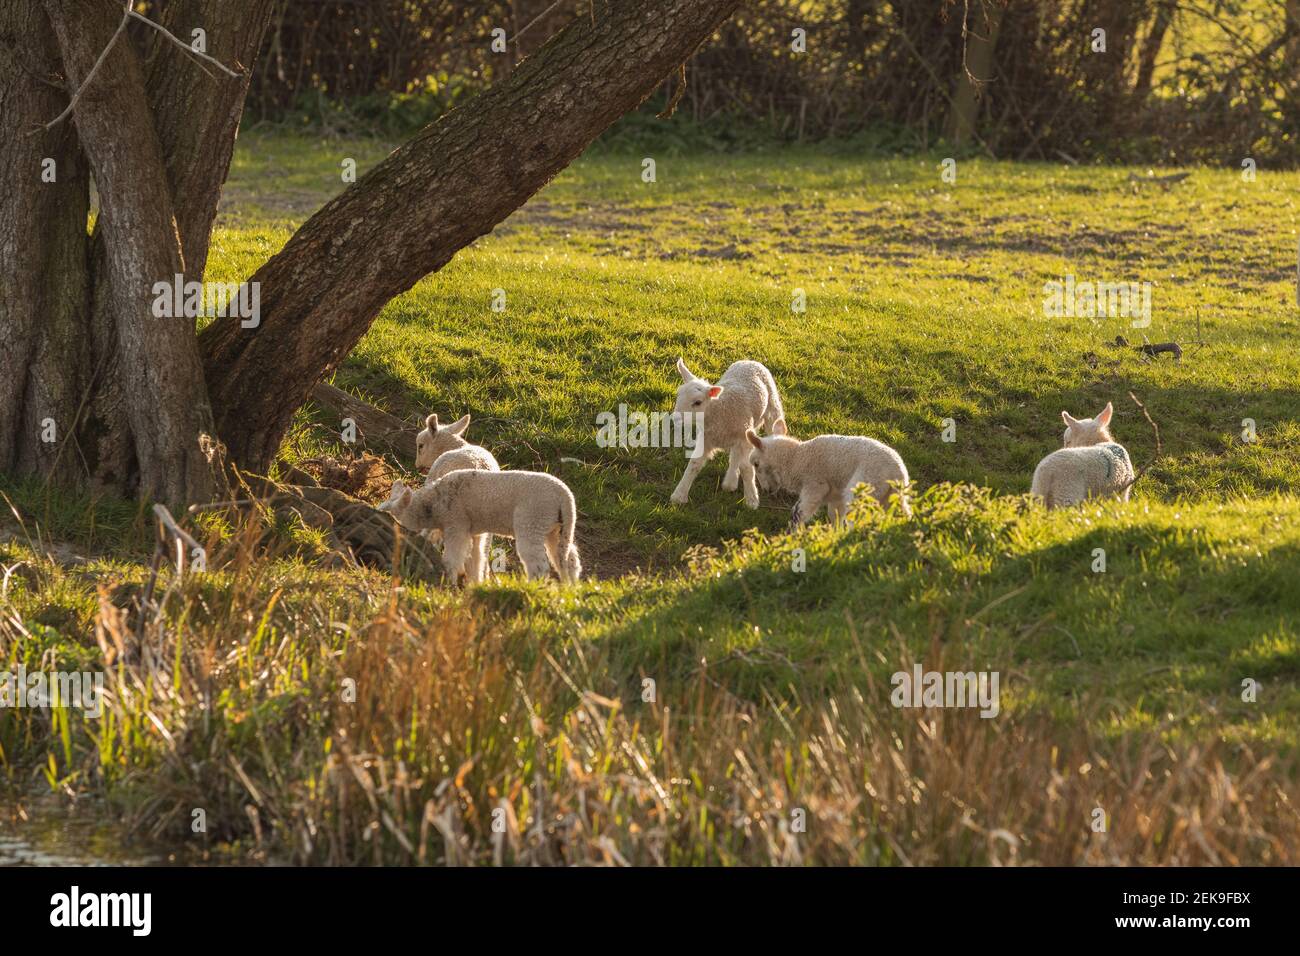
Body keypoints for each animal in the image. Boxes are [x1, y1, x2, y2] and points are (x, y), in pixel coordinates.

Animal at [377, 468, 579, 582]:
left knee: (539, 564)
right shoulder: (474, 530)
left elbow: (454, 556)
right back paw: (570, 587)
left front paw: (450, 579)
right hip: (556, 527)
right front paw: (474, 582)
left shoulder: (456, 523)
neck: (433, 505)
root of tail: (565, 496)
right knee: (568, 559)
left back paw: (533, 587)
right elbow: (476, 557)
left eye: (392, 515)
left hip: (533, 518)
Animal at [670, 356, 780, 509]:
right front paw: (679, 495)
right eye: (678, 395)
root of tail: (749, 361)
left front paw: (751, 500)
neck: (719, 410)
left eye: (697, 402)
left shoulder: (743, 437)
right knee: (735, 456)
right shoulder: (706, 438)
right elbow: (694, 464)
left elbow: (746, 468)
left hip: (771, 406)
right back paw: (730, 482)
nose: (675, 418)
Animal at [743, 424, 915, 528]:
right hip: (888, 497)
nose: (767, 491)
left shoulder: (815, 484)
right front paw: (834, 533)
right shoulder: (836, 494)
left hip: (865, 485)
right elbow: (835, 515)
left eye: (756, 464)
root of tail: (898, 474)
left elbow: (800, 512)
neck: (796, 458)